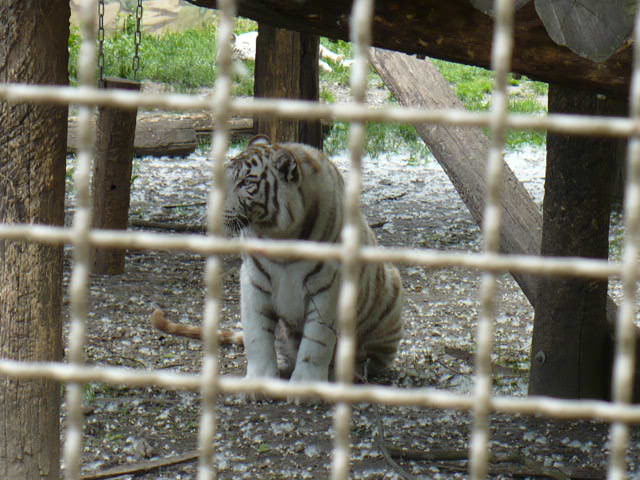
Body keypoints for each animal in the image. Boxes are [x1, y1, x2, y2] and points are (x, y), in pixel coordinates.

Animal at [151, 135, 402, 382]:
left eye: (245, 183)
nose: (212, 207)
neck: (280, 236)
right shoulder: (253, 279)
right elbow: (257, 334)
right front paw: (259, 380)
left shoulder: (329, 285)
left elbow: (316, 343)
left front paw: (305, 383)